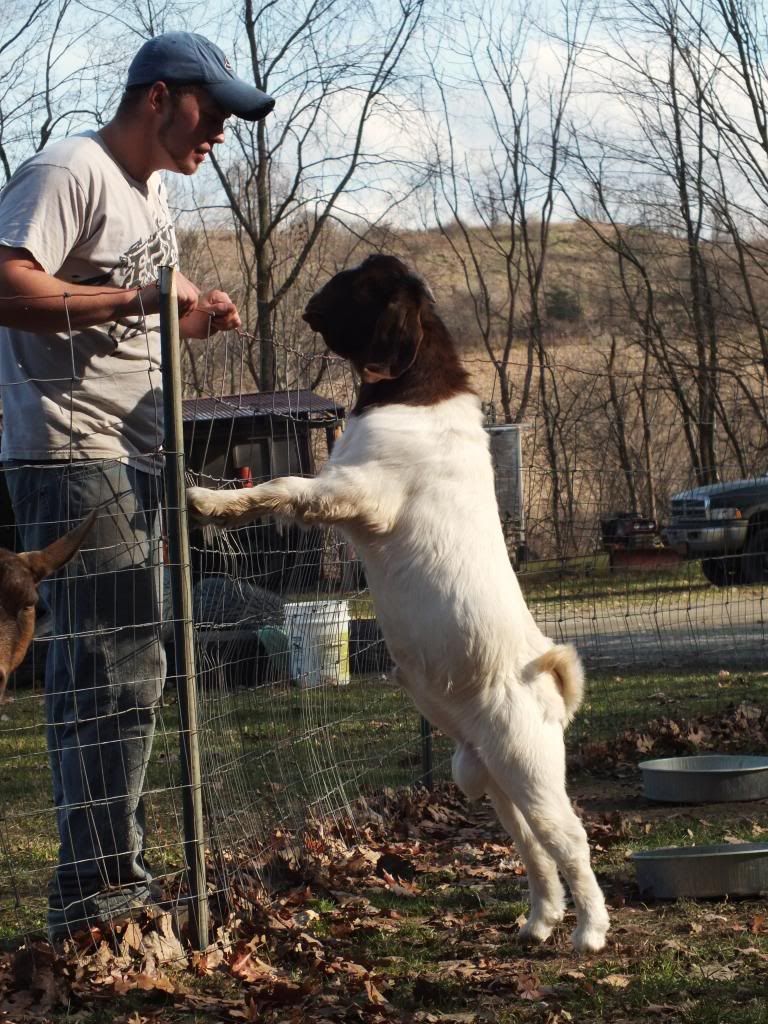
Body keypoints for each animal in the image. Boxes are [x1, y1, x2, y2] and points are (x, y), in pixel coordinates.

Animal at [187, 254, 610, 953]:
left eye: (362, 283)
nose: (312, 304)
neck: (416, 389)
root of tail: (547, 685)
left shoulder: (361, 493)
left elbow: (283, 484)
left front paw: (206, 501)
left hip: (527, 767)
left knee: (570, 842)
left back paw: (590, 931)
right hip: (487, 775)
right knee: (534, 852)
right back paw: (540, 921)